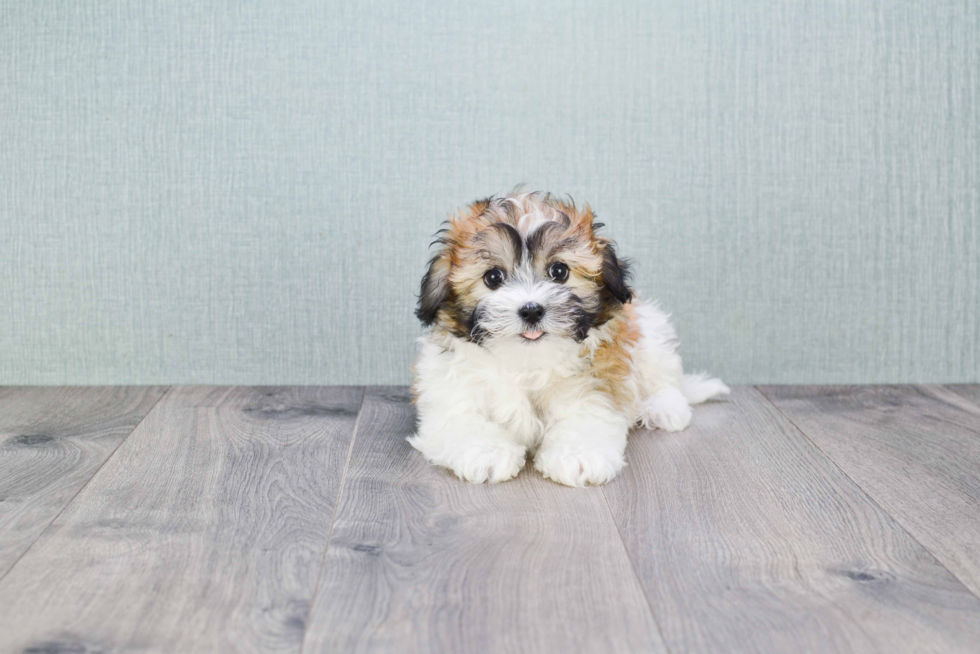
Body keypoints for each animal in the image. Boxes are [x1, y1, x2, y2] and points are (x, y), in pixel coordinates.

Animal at [408, 190, 728, 486]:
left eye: (559, 271)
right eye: (493, 277)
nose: (531, 310)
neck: (525, 362)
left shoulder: (595, 382)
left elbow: (585, 416)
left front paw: (578, 456)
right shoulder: (451, 390)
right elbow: (461, 420)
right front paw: (487, 453)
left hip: (651, 331)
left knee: (664, 376)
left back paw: (664, 408)